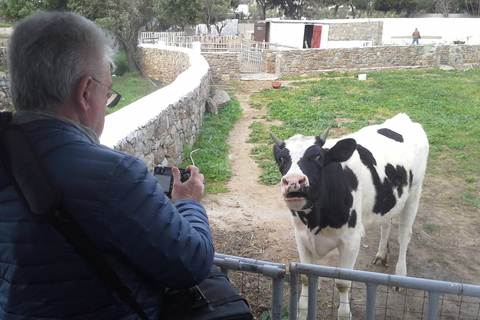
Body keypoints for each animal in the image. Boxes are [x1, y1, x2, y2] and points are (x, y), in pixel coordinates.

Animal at [272, 114, 430, 318]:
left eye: (318, 157)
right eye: (281, 159)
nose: (293, 182)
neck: (315, 220)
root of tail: (403, 117)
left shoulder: (351, 241)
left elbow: (342, 283)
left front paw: (344, 314)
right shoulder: (301, 237)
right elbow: (306, 278)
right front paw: (301, 312)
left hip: (415, 191)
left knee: (404, 235)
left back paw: (400, 275)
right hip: (389, 200)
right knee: (386, 223)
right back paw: (381, 254)